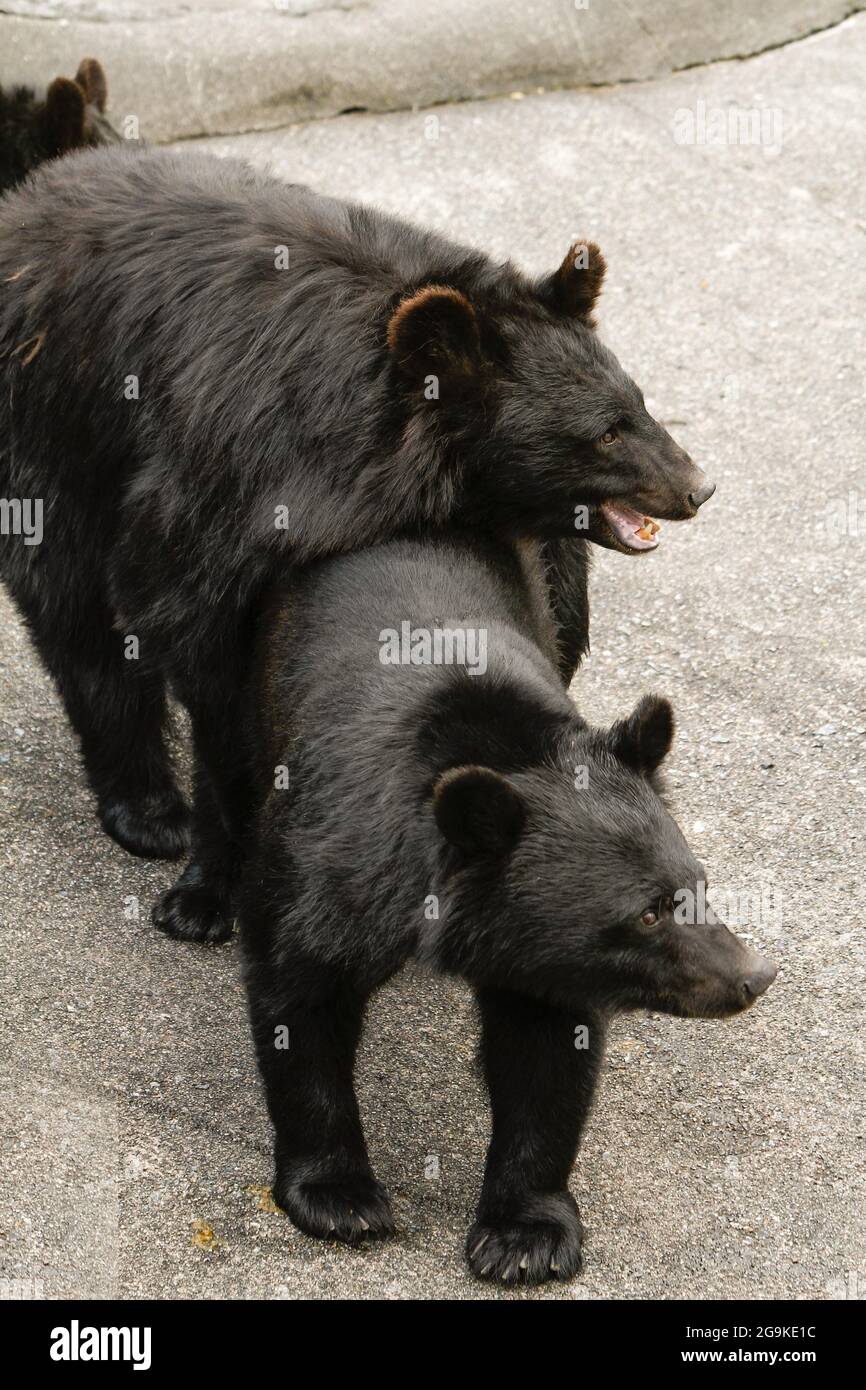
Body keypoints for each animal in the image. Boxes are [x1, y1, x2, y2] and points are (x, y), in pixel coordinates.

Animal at [0, 144, 714, 940]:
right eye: (606, 432)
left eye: (640, 405)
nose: (698, 488)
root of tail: (35, 189)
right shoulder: (219, 481)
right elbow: (203, 662)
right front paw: (205, 893)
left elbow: (558, 619)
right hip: (54, 430)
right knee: (77, 617)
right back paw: (149, 812)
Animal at [234, 528, 776, 1284]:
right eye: (646, 913)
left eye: (696, 886)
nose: (752, 977)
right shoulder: (329, 858)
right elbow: (301, 993)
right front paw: (340, 1198)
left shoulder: (548, 957)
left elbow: (543, 1055)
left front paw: (525, 1235)